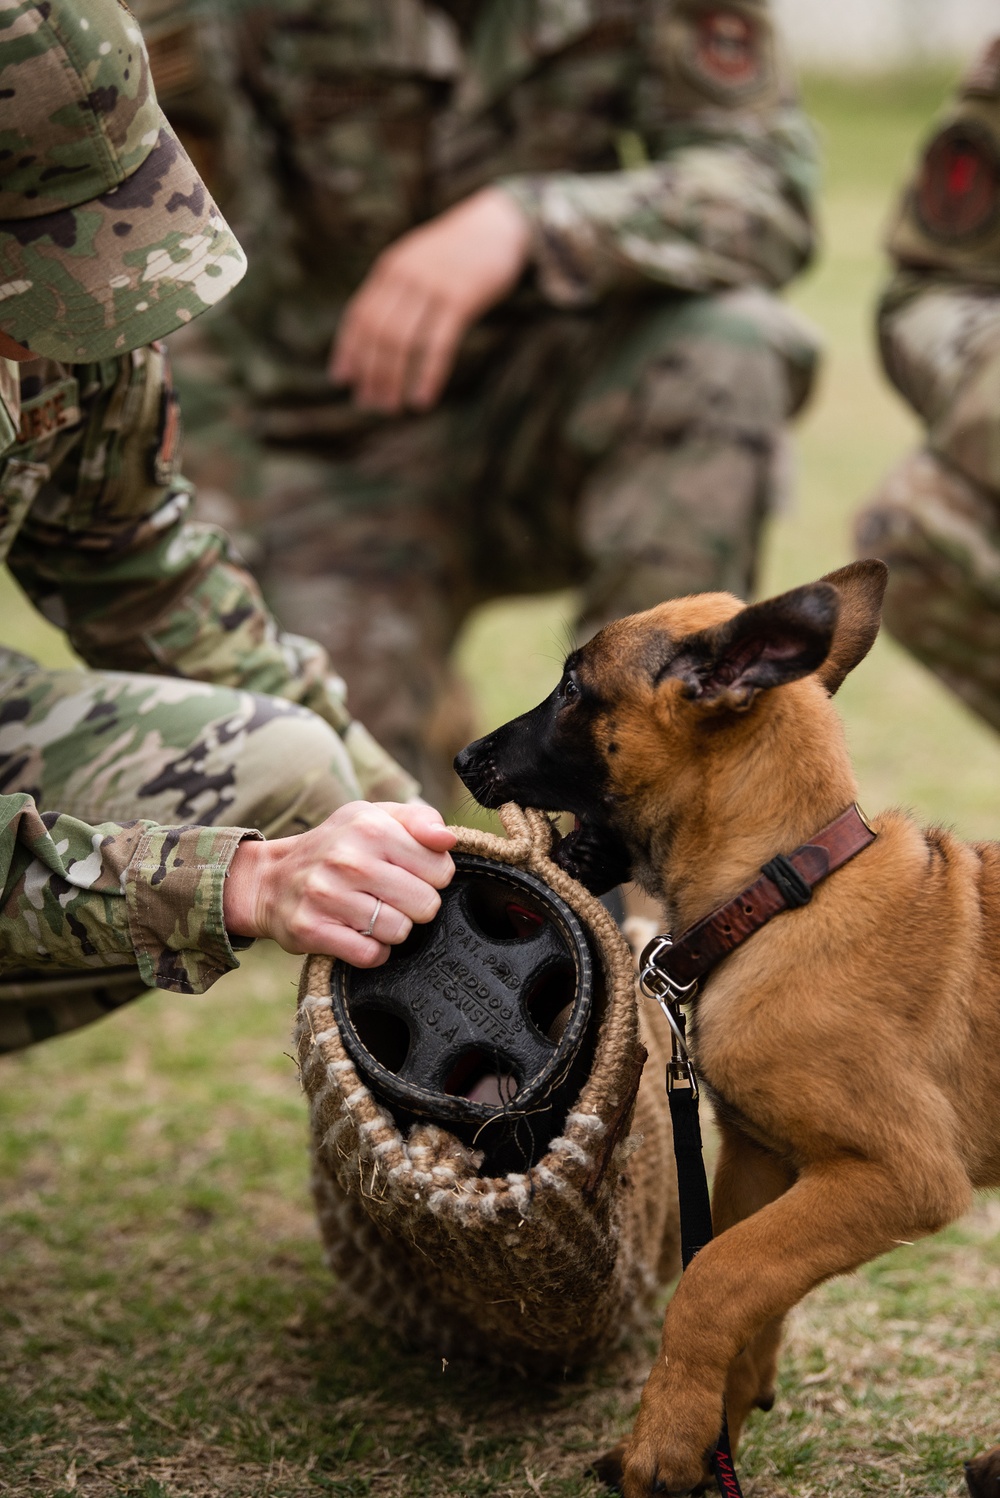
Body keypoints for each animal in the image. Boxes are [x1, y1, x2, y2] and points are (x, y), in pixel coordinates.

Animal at [455, 563, 999, 1498]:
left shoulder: (901, 1174)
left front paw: (664, 1445)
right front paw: (717, 1438)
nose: (462, 759)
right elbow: (747, 1288)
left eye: (572, 689)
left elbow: (714, 1277)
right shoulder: (761, 1155)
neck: (779, 894)